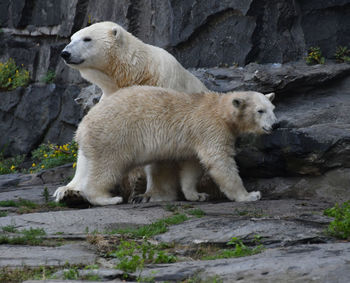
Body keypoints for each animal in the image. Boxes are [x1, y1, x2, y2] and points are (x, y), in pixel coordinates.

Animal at [54, 86, 276, 206]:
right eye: (260, 110)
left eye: (272, 108)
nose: (274, 125)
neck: (220, 111)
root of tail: (82, 127)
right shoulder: (210, 129)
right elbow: (220, 161)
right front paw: (250, 195)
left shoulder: (195, 138)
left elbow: (192, 166)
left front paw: (197, 195)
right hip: (113, 137)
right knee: (107, 168)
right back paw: (108, 198)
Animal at [55, 21, 208, 204]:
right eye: (72, 38)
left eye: (87, 39)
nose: (65, 53)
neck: (136, 74)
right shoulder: (109, 99)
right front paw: (69, 191)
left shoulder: (163, 88)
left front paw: (151, 195)